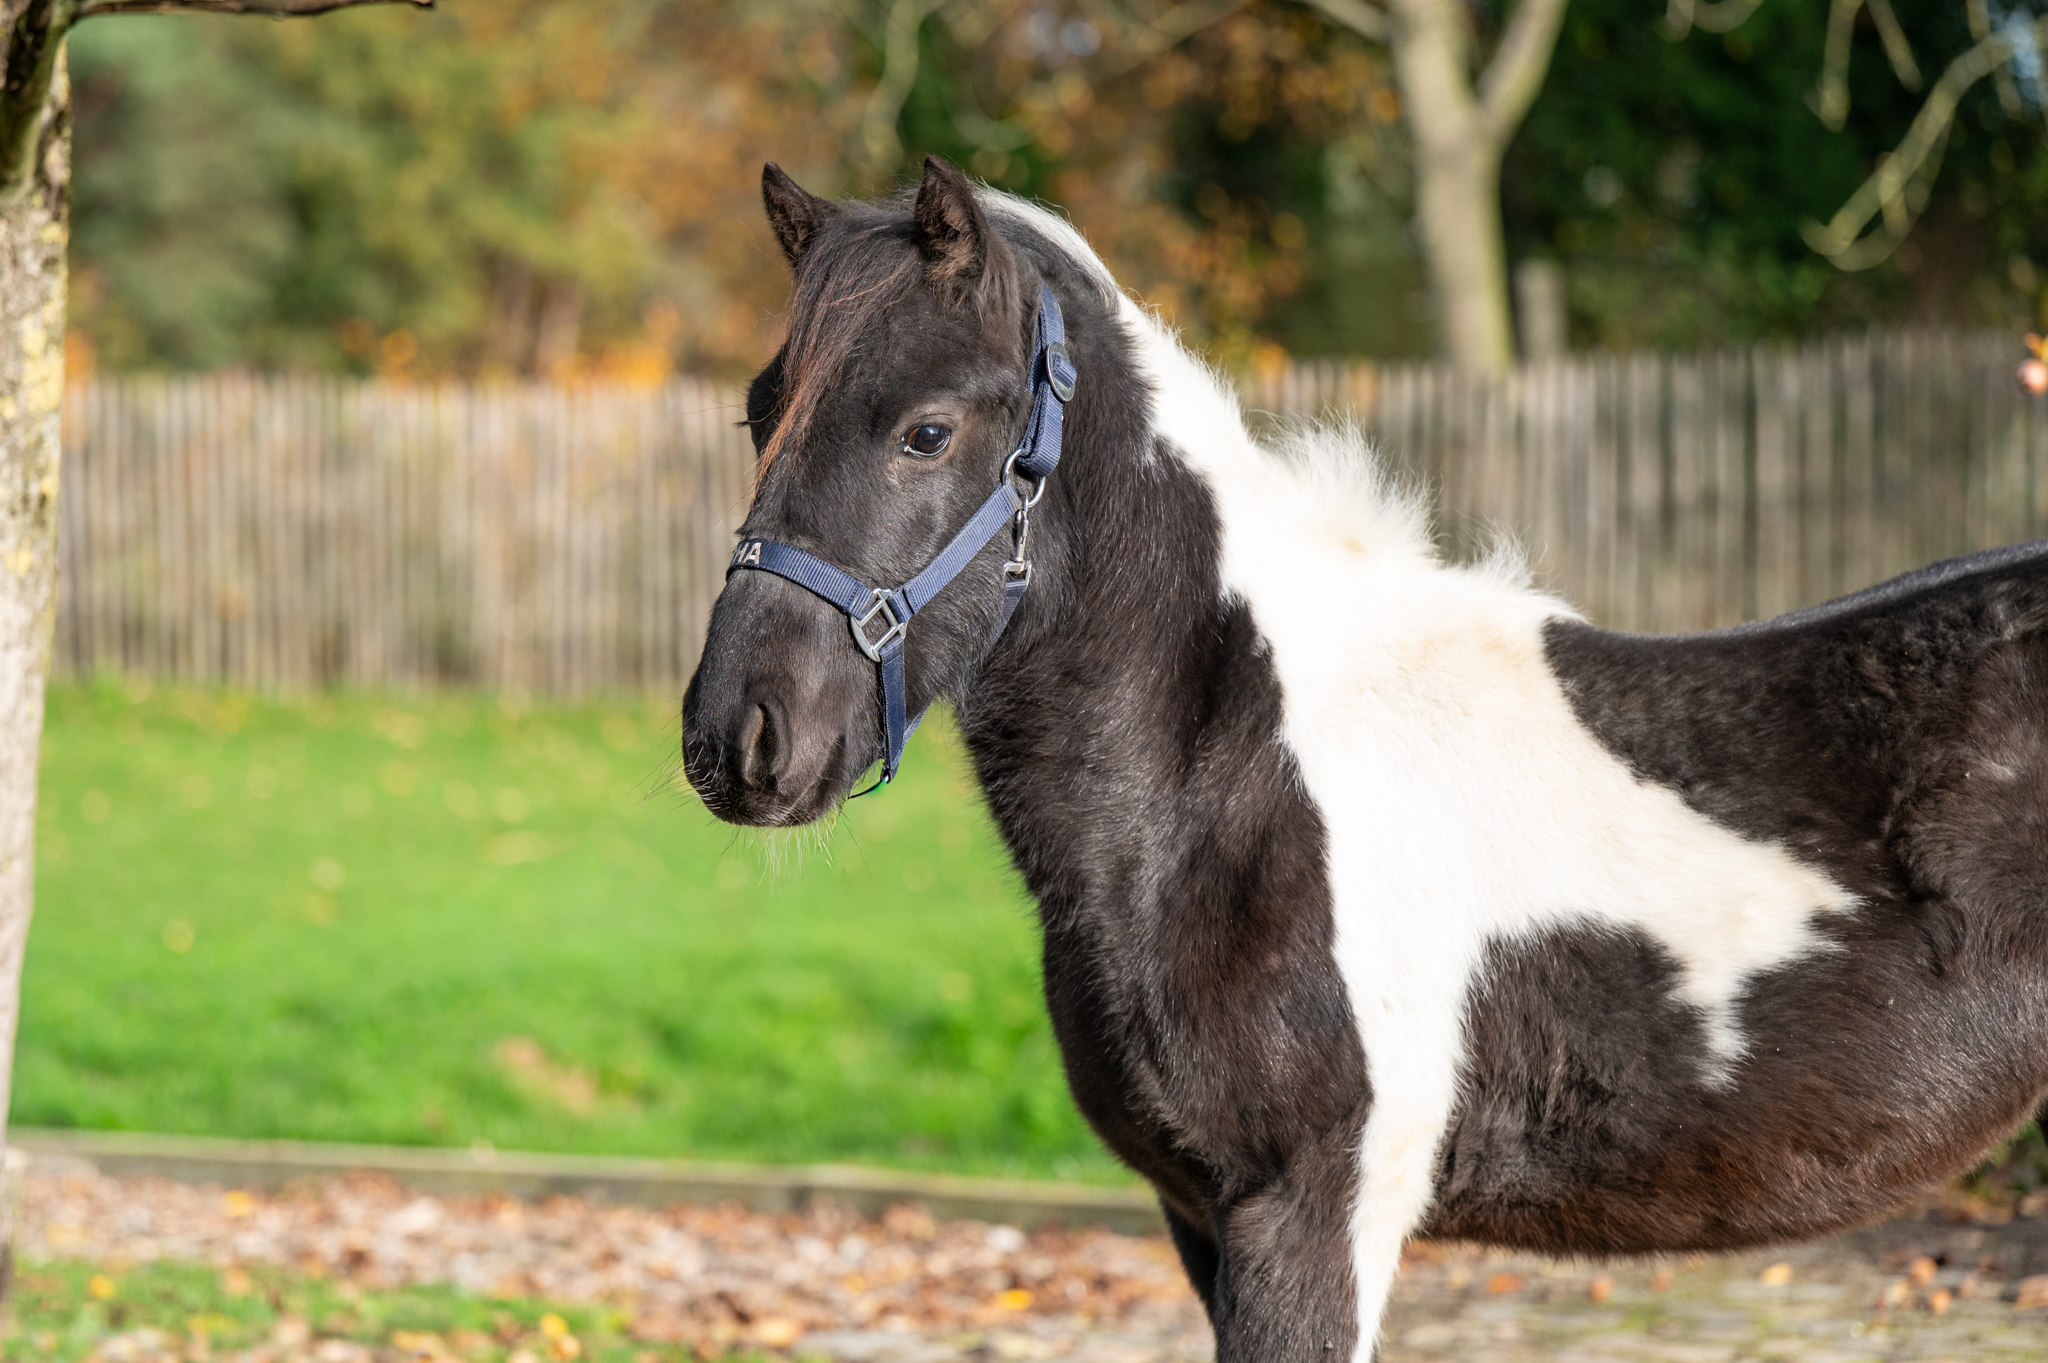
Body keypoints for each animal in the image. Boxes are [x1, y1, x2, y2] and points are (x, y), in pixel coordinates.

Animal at [681, 154, 2048, 1361]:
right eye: (760, 408)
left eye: (926, 430)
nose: (738, 738)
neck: (1231, 774)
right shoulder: (1200, 1216)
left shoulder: (1309, 1213)